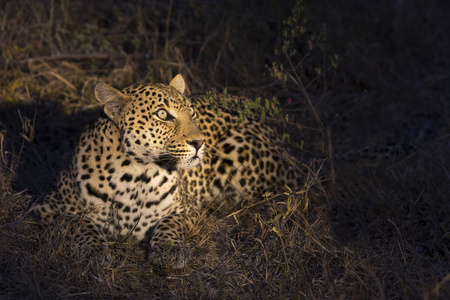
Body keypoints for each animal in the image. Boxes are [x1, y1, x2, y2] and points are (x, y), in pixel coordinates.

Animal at [33, 74, 304, 268]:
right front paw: (93, 252)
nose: (200, 142)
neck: (136, 175)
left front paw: (170, 250)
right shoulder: (47, 207)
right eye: (163, 114)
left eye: (191, 112)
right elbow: (80, 222)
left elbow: (170, 222)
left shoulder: (188, 209)